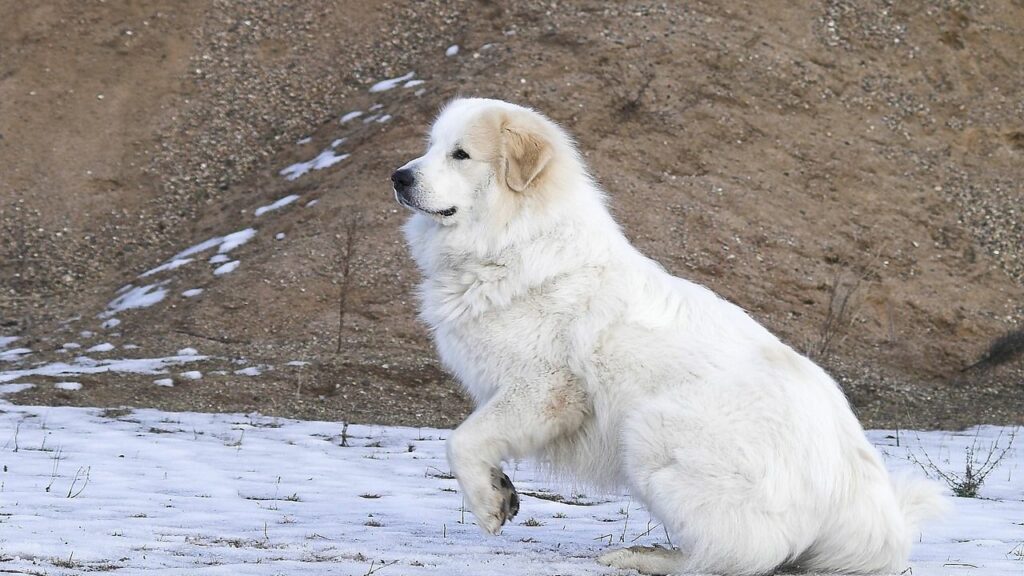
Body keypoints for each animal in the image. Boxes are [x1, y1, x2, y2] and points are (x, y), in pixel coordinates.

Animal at [391, 99, 942, 573]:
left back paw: (647, 556)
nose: (398, 176)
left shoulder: (544, 389)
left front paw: (487, 504)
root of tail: (858, 495)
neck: (515, 242)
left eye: (460, 154)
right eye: (431, 145)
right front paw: (501, 489)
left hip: (648, 432)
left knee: (743, 554)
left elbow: (461, 440)